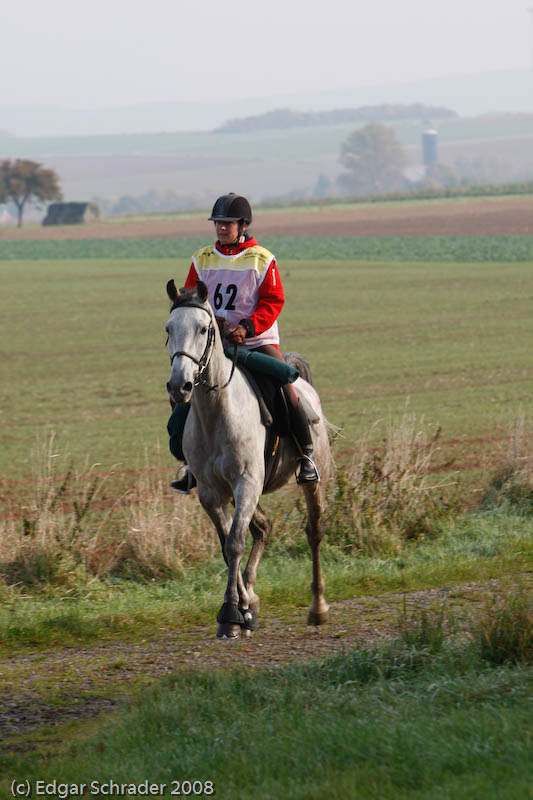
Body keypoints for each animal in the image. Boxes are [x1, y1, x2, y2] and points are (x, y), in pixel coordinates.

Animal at [166, 278, 330, 640]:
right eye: (168, 328)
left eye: (203, 328)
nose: (179, 385)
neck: (217, 413)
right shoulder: (212, 493)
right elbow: (227, 546)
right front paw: (243, 610)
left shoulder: (247, 483)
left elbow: (234, 544)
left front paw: (230, 613)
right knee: (264, 528)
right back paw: (252, 598)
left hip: (310, 481)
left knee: (313, 531)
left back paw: (318, 608)